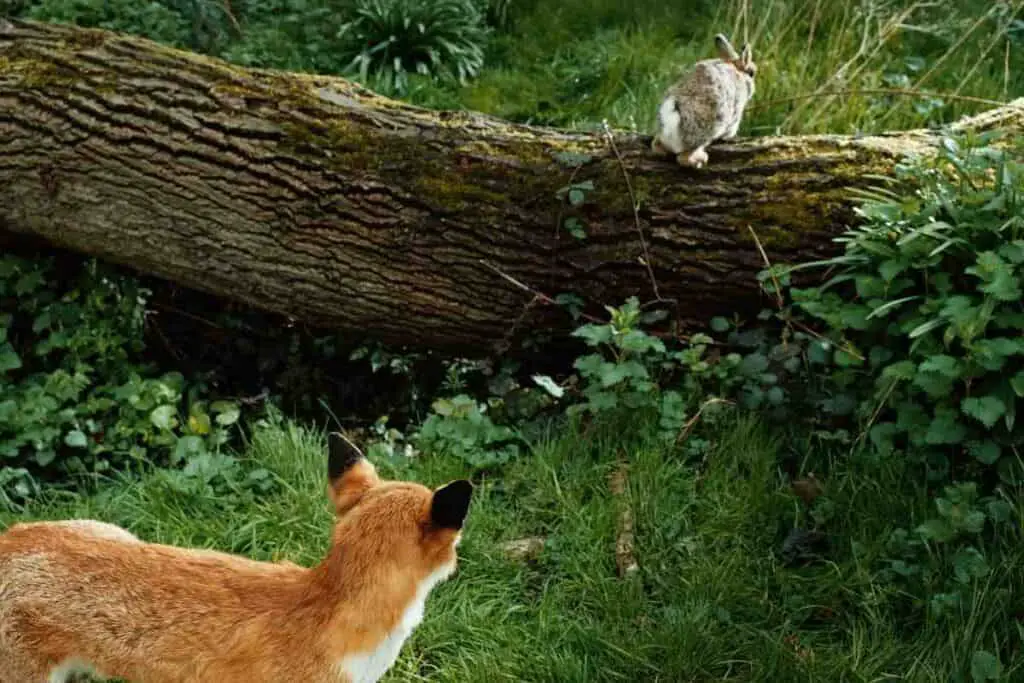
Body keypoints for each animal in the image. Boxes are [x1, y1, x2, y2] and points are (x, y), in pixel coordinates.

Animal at [651, 33, 757, 169]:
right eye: (752, 73)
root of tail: (671, 111)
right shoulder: (735, 115)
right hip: (704, 131)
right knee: (684, 157)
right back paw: (701, 159)